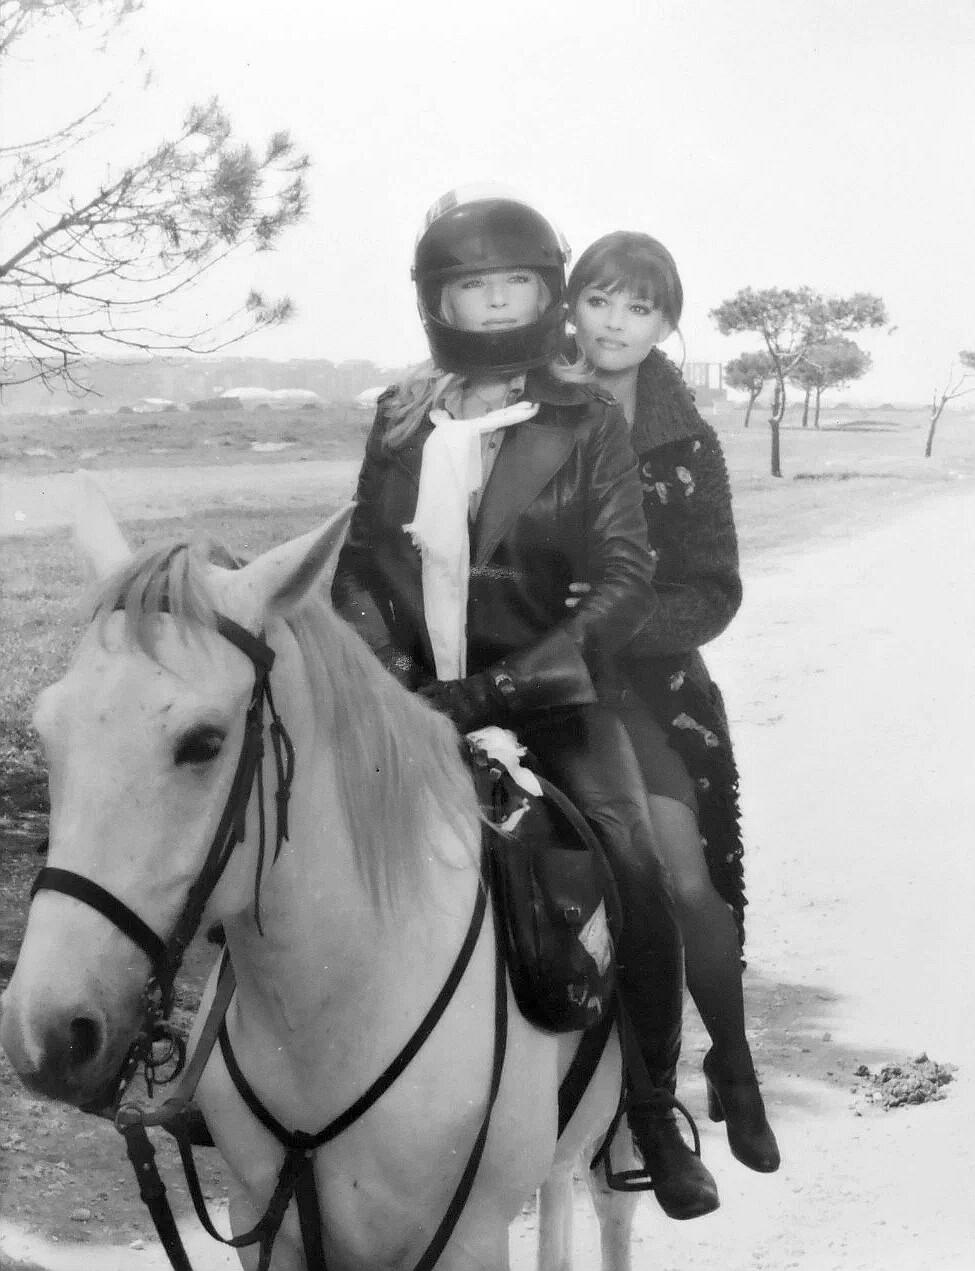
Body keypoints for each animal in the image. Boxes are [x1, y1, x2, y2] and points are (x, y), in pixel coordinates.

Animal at [0, 484, 642, 1271]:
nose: (45, 1032)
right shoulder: (263, 1221)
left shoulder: (470, 1239)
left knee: (612, 1207)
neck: (336, 1012)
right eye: (47, 732)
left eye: (203, 742)